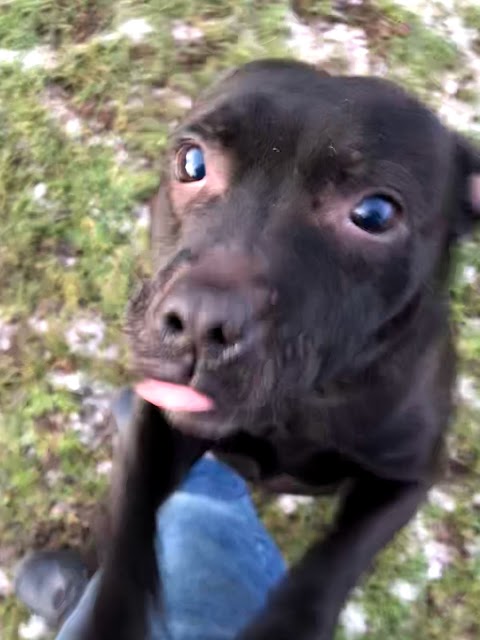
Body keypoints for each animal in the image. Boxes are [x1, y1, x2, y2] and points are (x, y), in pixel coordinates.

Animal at [80, 57, 478, 636]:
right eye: (191, 162)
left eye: (376, 214)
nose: (200, 322)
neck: (300, 407)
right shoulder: (160, 419)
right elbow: (131, 518)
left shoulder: (408, 476)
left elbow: (338, 558)